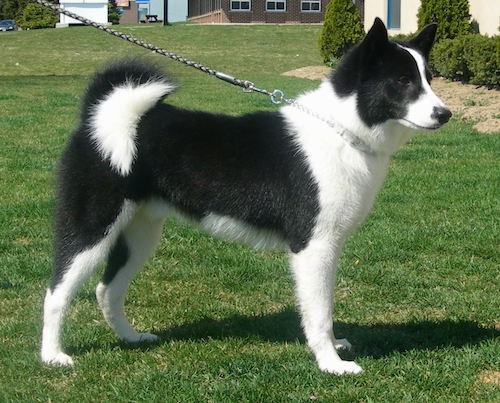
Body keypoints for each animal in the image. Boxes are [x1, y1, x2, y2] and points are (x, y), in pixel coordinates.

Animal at [41, 19, 452, 376]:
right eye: (402, 81)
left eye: (428, 79)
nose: (445, 114)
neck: (341, 129)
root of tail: (99, 117)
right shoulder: (313, 246)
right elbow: (319, 313)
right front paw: (331, 364)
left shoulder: (329, 246)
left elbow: (325, 307)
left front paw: (334, 349)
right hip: (93, 227)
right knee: (56, 293)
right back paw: (53, 356)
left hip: (140, 234)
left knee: (107, 289)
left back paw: (131, 338)